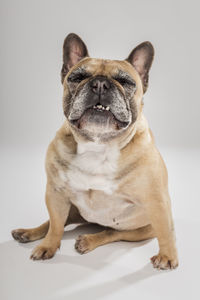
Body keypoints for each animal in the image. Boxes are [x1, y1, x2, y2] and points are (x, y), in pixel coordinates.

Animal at [11, 32, 179, 270]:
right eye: (77, 77)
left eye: (126, 82)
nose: (100, 84)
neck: (98, 144)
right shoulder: (55, 193)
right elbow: (55, 226)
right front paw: (48, 246)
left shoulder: (157, 201)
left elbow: (166, 232)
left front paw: (167, 256)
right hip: (71, 208)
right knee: (56, 222)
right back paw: (28, 233)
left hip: (143, 228)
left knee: (112, 232)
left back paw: (88, 241)